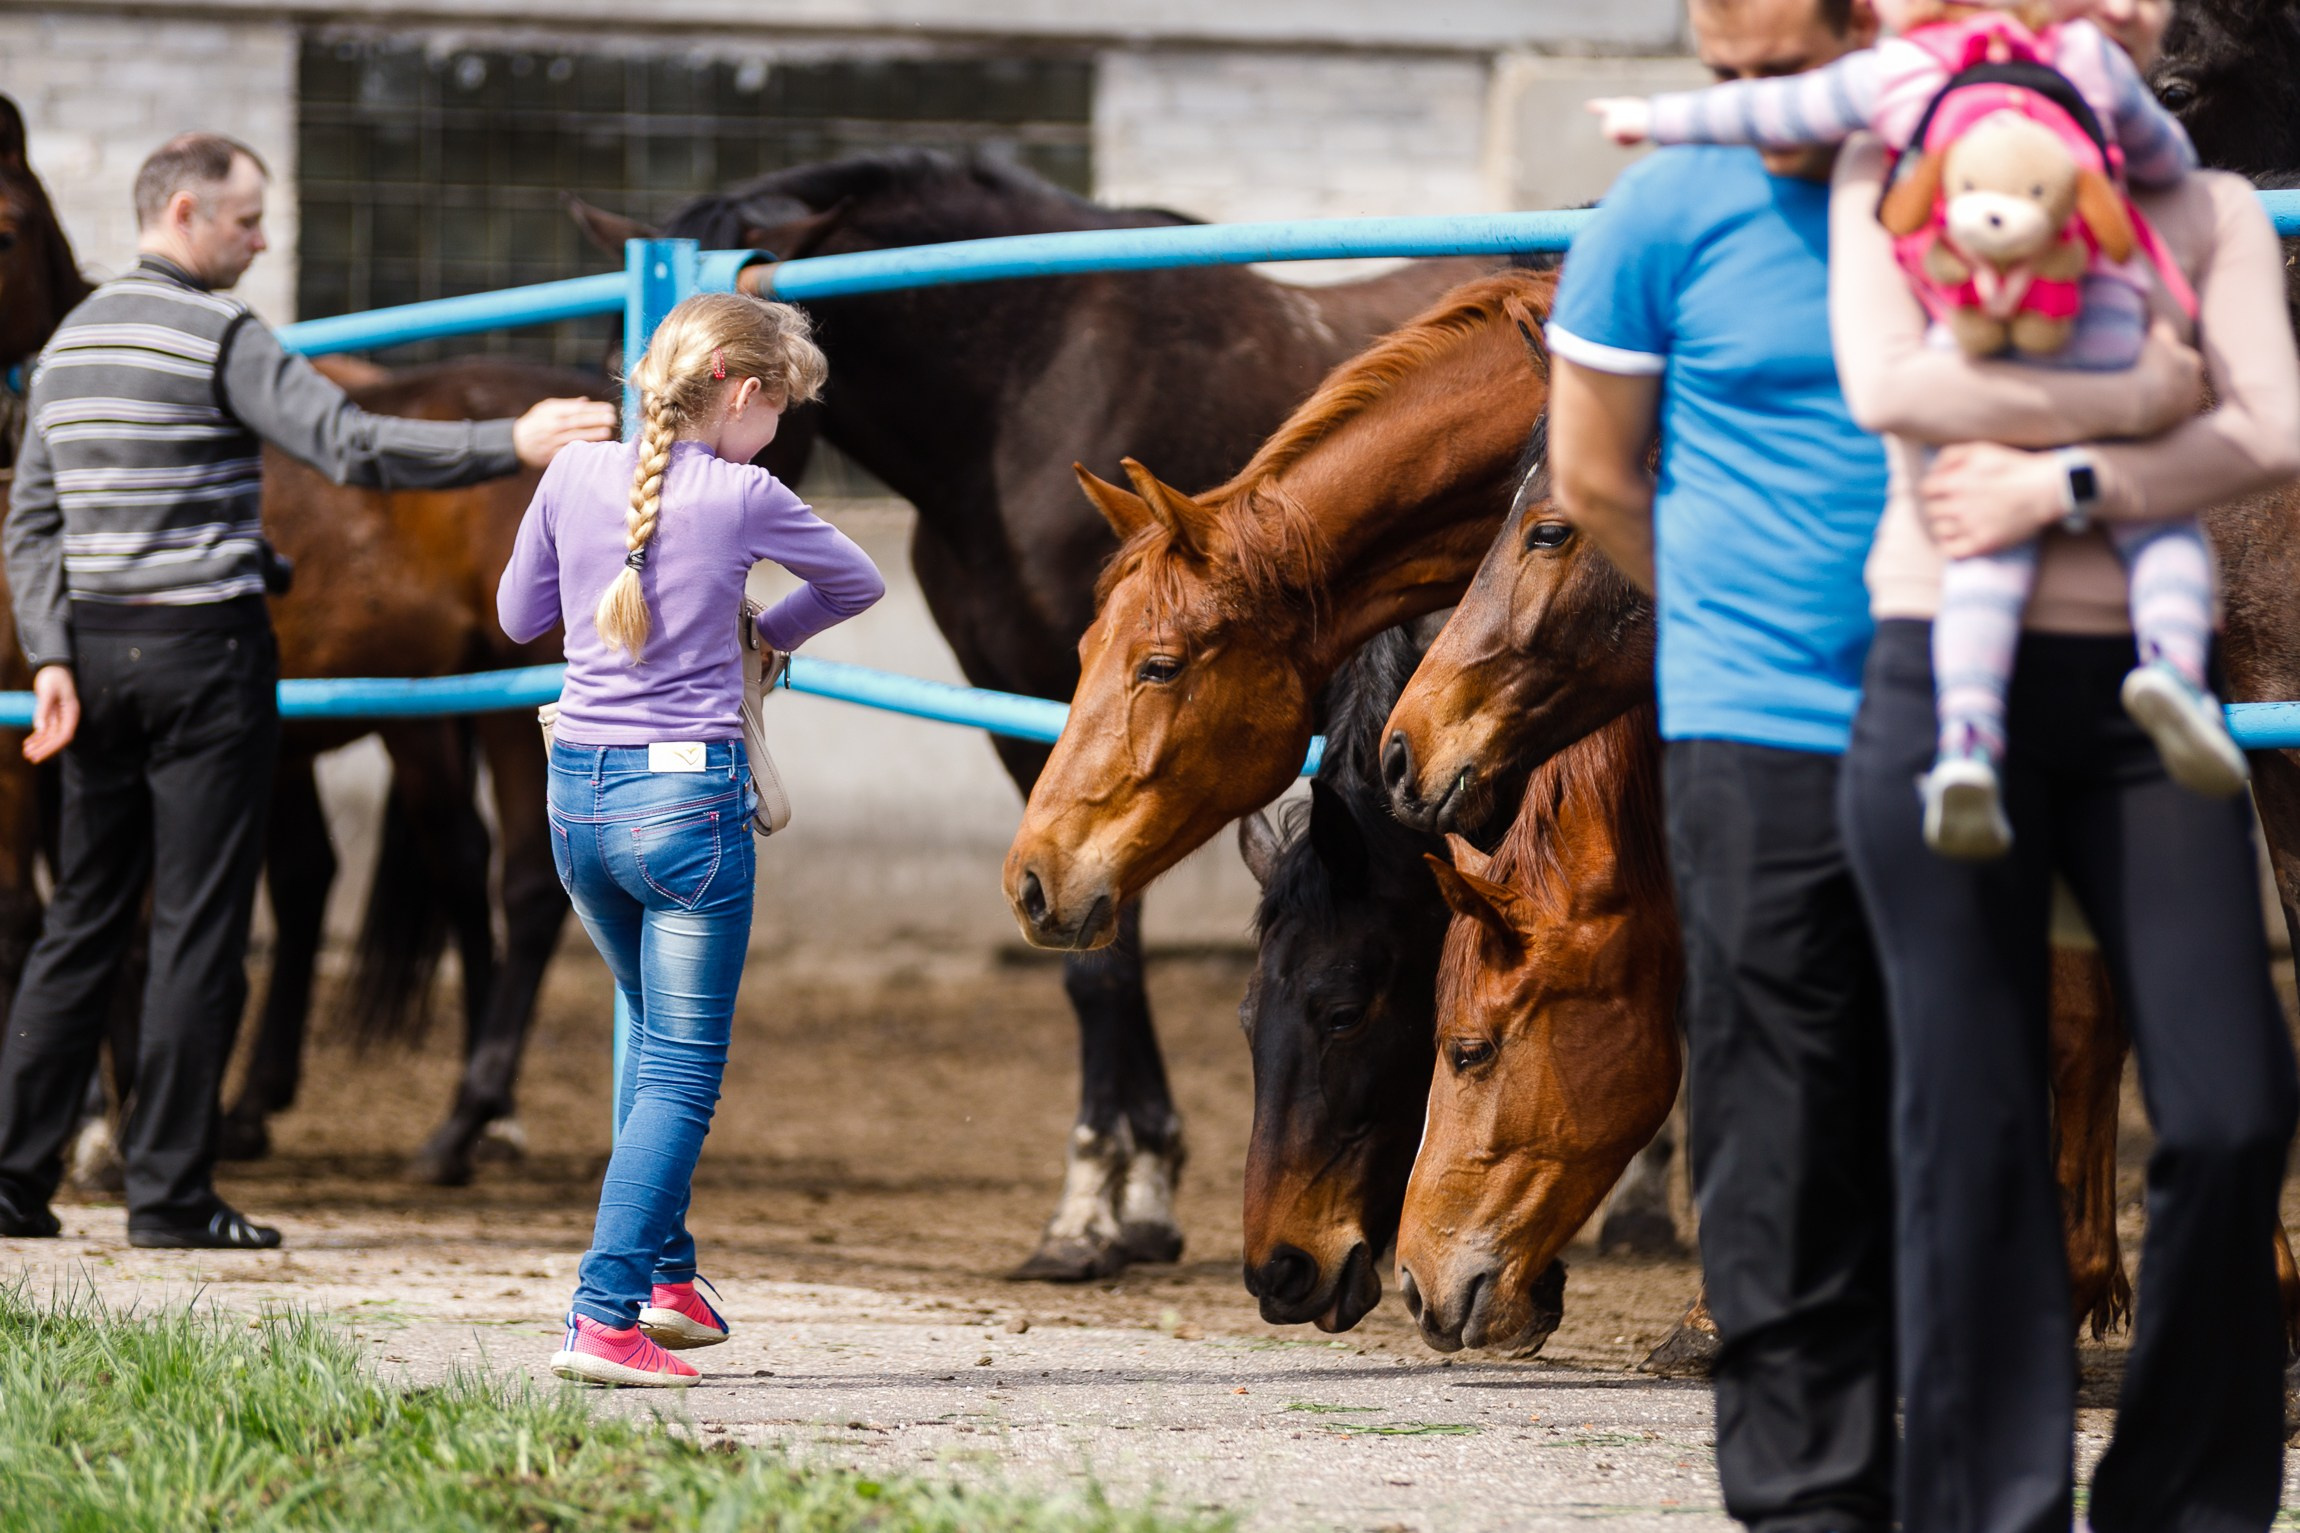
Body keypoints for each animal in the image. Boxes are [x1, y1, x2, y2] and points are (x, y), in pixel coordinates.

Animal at [571, 148, 1491, 1280]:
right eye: (610, 367)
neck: (1031, 382)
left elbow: (1104, 945)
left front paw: (1096, 1209)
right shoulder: (1027, 721)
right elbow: (1094, 951)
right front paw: (1127, 1198)